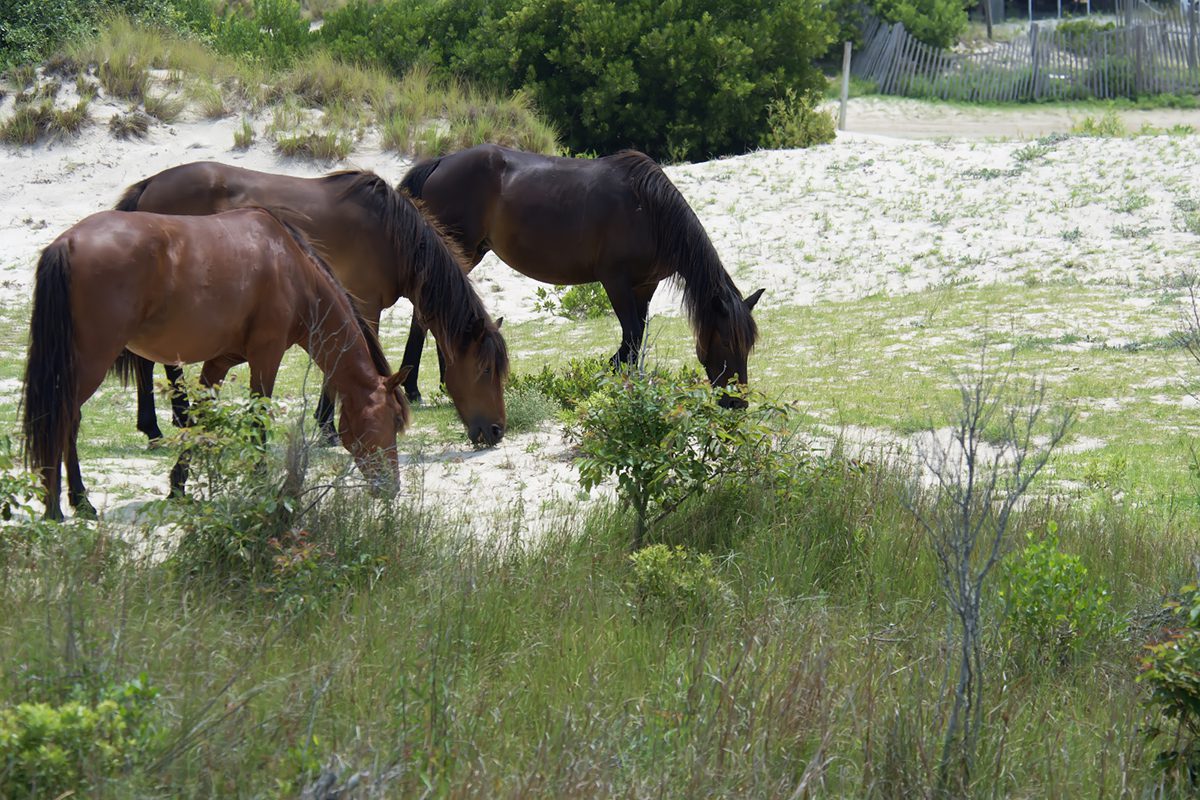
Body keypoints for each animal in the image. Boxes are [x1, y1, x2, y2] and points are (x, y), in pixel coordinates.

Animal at [23, 206, 412, 522]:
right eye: (394, 420)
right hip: (92, 362)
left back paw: (76, 501)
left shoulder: (220, 362)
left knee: (67, 421)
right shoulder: (266, 356)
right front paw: (259, 483)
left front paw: (178, 486)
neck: (290, 266)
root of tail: (68, 242)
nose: (391, 488)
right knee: (64, 419)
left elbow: (200, 421)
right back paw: (59, 506)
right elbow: (257, 421)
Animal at [113, 161, 506, 448]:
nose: (497, 431)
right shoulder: (364, 307)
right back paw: (158, 427)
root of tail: (150, 183)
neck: (390, 234)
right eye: (486, 370)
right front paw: (328, 427)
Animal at [398, 143, 763, 407]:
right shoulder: (615, 281)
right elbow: (631, 335)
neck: (649, 211)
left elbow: (637, 338)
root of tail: (440, 163)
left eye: (749, 345)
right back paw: (416, 389)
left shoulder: (645, 286)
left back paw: (444, 384)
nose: (738, 403)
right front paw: (605, 376)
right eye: (727, 341)